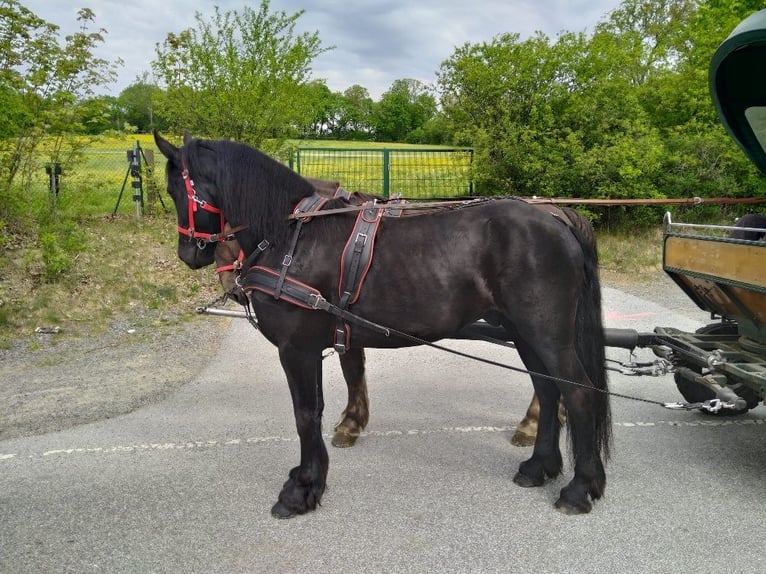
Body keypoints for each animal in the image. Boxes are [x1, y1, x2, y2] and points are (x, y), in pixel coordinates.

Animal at [155, 131, 612, 518]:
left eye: (177, 189)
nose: (188, 254)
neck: (292, 239)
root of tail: (557, 219)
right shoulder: (318, 344)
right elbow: (319, 408)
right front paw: (313, 476)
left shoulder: (296, 348)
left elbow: (305, 414)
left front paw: (301, 490)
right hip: (524, 333)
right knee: (548, 391)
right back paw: (539, 466)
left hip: (546, 332)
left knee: (577, 393)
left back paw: (579, 488)